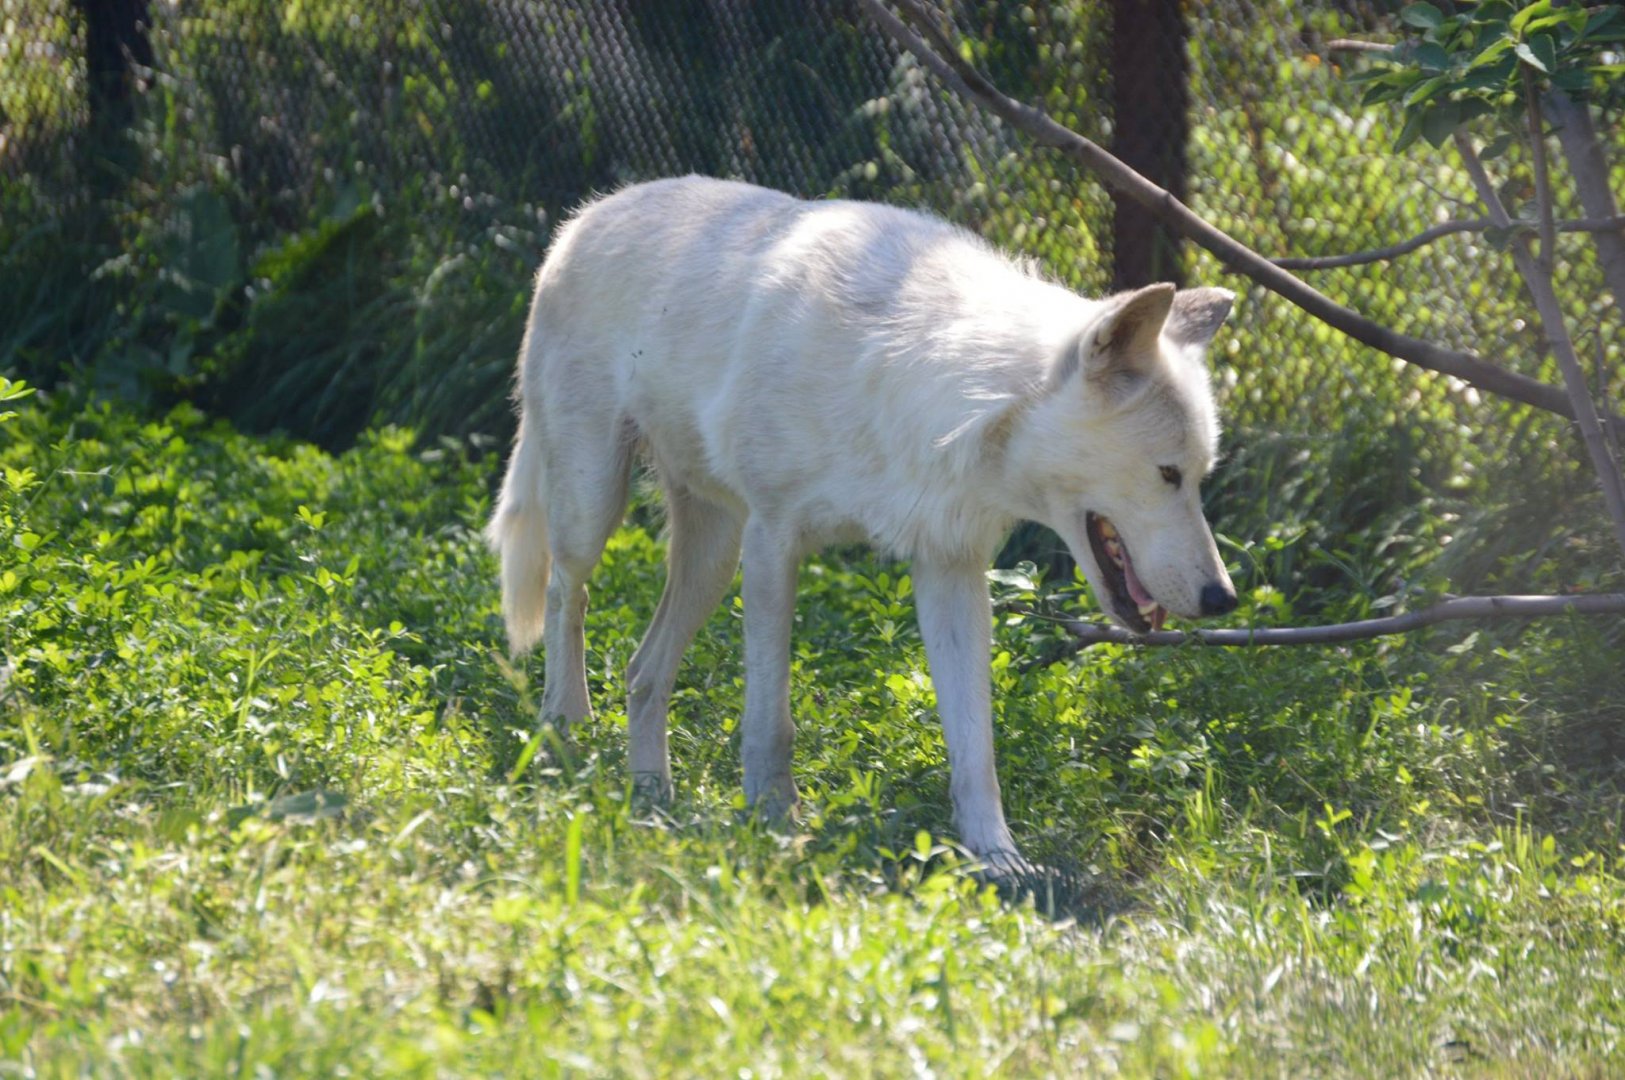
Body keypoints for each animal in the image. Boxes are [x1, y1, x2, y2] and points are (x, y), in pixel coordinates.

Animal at [487, 176, 1238, 873]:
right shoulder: (773, 540)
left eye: (1200, 475)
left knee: (643, 672)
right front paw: (773, 823)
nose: (1222, 599)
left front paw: (997, 858)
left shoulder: (948, 568)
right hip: (598, 506)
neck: (923, 376)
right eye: (1167, 474)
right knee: (565, 594)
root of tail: (584, 218)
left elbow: (976, 745)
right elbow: (772, 722)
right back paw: (564, 736)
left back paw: (650, 799)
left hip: (711, 557)